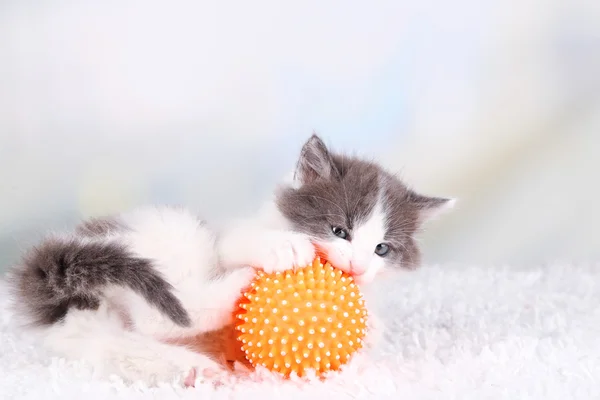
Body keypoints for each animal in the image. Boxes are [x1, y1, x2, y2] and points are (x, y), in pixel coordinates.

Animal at [5, 134, 454, 388]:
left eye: (382, 249)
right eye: (339, 230)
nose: (358, 266)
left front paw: (372, 329)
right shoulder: (225, 236)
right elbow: (242, 241)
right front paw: (282, 248)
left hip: (96, 327)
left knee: (117, 343)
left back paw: (191, 369)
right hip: (169, 232)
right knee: (161, 315)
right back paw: (238, 284)